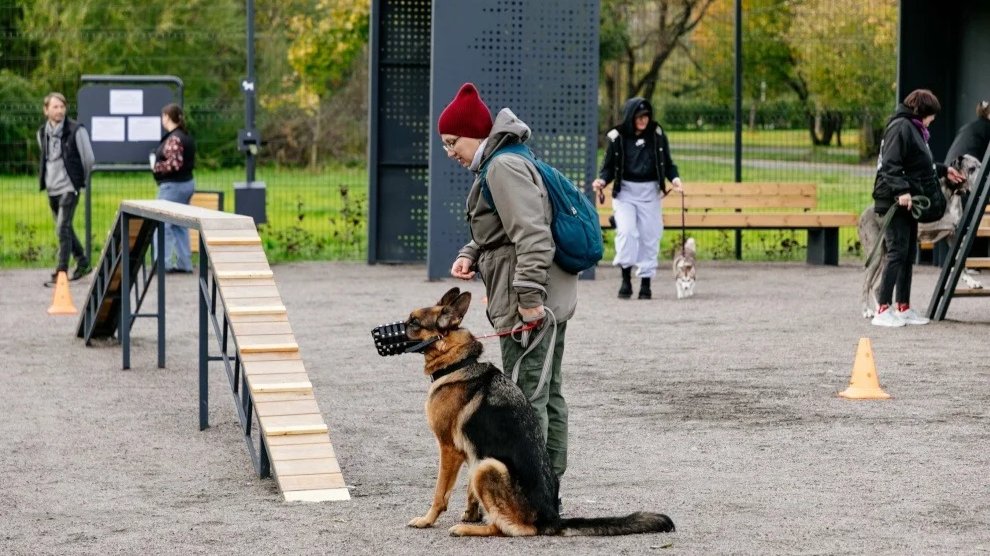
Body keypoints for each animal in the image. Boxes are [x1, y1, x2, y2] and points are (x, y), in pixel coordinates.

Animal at [404, 286, 676, 536]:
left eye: (414, 322)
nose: (398, 325)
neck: (459, 362)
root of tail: (552, 519)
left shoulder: (448, 449)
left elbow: (440, 493)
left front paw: (427, 520)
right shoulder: (472, 451)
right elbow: (470, 493)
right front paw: (471, 513)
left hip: (488, 466)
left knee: (512, 528)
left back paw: (466, 529)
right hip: (482, 462)